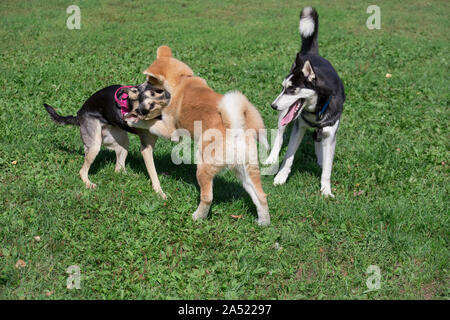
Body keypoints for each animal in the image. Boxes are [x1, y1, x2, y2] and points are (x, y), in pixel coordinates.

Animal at [128, 45, 272, 225]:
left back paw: (197, 217)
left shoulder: (170, 131)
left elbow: (150, 123)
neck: (182, 80)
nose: (137, 87)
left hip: (204, 167)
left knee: (207, 197)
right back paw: (263, 222)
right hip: (245, 170)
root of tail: (235, 130)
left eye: (149, 81)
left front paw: (133, 120)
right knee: (261, 196)